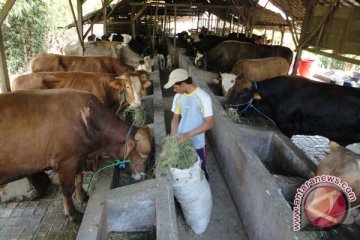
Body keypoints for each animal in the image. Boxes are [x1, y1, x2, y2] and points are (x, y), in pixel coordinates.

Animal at [0, 89, 151, 221]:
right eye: (144, 154)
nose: (143, 176)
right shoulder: (66, 161)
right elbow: (67, 189)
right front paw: (72, 214)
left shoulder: (78, 157)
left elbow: (78, 179)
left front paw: (83, 197)